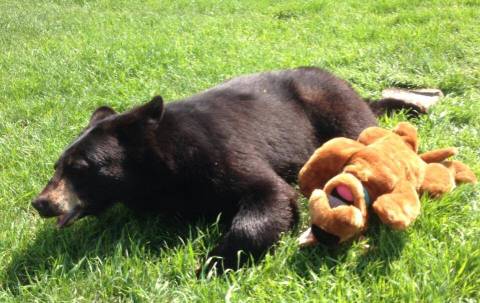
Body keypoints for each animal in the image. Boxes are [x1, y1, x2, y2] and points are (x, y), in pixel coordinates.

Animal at [31, 66, 422, 270]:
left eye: (80, 168)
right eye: (57, 166)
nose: (41, 203)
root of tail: (337, 77)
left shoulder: (215, 150)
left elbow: (269, 192)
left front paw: (212, 263)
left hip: (330, 102)